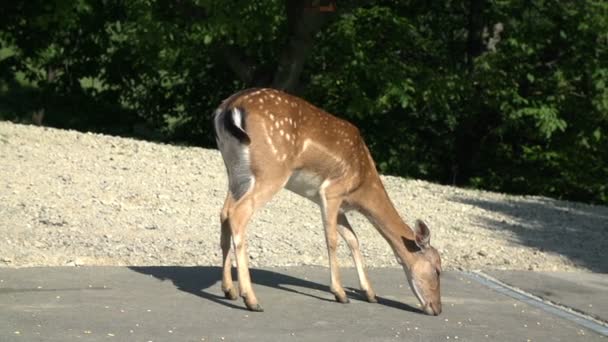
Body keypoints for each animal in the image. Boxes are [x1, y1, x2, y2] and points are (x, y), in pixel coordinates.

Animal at [214, 87, 442, 316]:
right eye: (438, 269)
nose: (437, 308)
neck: (361, 186)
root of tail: (229, 107)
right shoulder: (332, 192)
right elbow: (332, 240)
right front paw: (340, 293)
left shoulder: (340, 206)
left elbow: (353, 239)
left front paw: (370, 293)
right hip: (271, 169)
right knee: (238, 213)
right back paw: (251, 299)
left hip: (235, 171)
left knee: (225, 212)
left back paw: (229, 290)